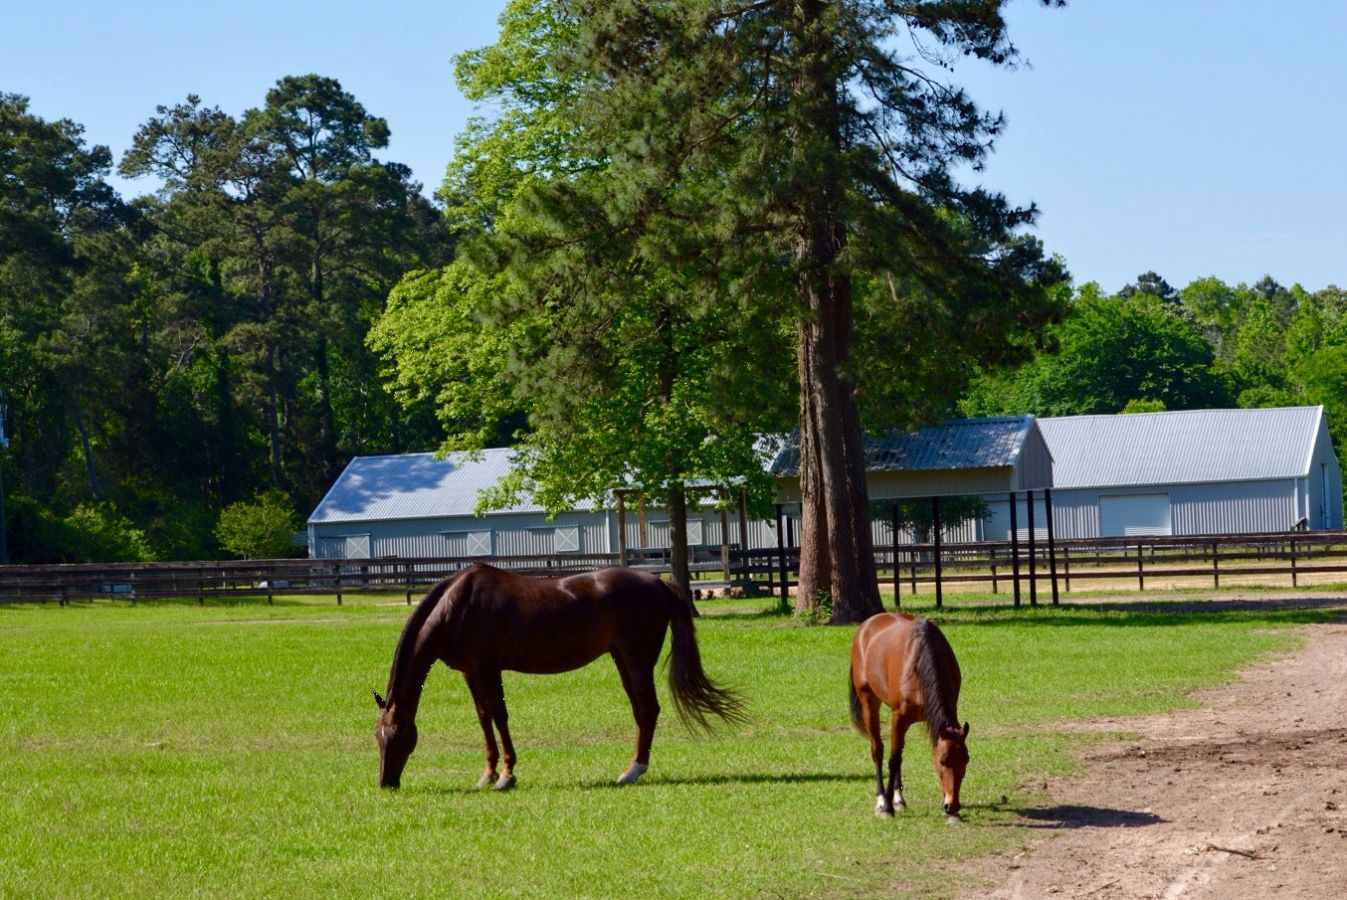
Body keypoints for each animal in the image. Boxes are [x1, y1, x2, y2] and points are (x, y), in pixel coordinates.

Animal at [371, 565, 748, 792]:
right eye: (377, 736)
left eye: (398, 735)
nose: (386, 782)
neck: (457, 605)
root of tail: (658, 581)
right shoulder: (470, 671)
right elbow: (483, 718)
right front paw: (487, 775)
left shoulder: (488, 668)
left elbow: (499, 716)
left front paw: (506, 776)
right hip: (622, 658)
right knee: (643, 711)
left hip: (637, 659)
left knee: (648, 709)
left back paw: (634, 770)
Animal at [845, 614, 975, 819]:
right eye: (942, 761)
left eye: (966, 760)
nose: (952, 805)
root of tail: (866, 625)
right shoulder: (898, 718)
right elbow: (892, 759)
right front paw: (887, 807)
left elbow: (900, 756)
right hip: (869, 702)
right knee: (878, 749)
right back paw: (881, 800)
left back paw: (898, 798)